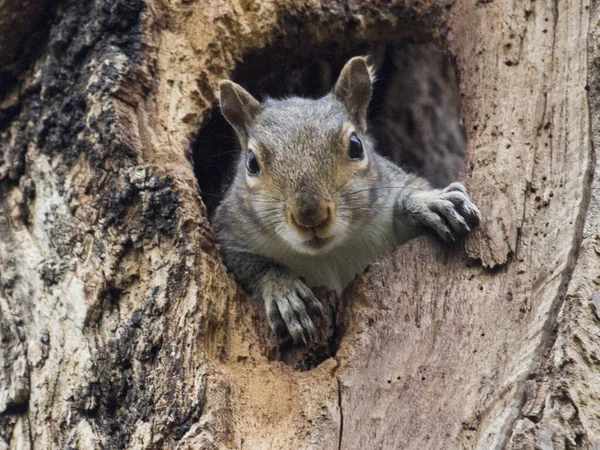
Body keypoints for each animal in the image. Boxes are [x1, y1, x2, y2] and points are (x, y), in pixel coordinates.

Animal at [213, 56, 480, 344]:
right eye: (251, 163)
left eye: (356, 145)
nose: (310, 215)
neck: (328, 253)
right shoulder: (229, 235)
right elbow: (249, 265)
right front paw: (284, 291)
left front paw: (429, 202)